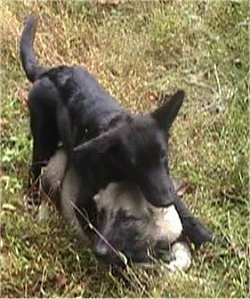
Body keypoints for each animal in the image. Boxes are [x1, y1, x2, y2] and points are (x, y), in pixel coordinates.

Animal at [20, 15, 214, 247]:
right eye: (135, 164)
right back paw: (32, 199)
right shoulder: (86, 196)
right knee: (35, 169)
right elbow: (92, 224)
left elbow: (185, 213)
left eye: (163, 157)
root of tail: (46, 72)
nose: (166, 201)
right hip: (43, 137)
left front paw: (209, 238)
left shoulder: (164, 179)